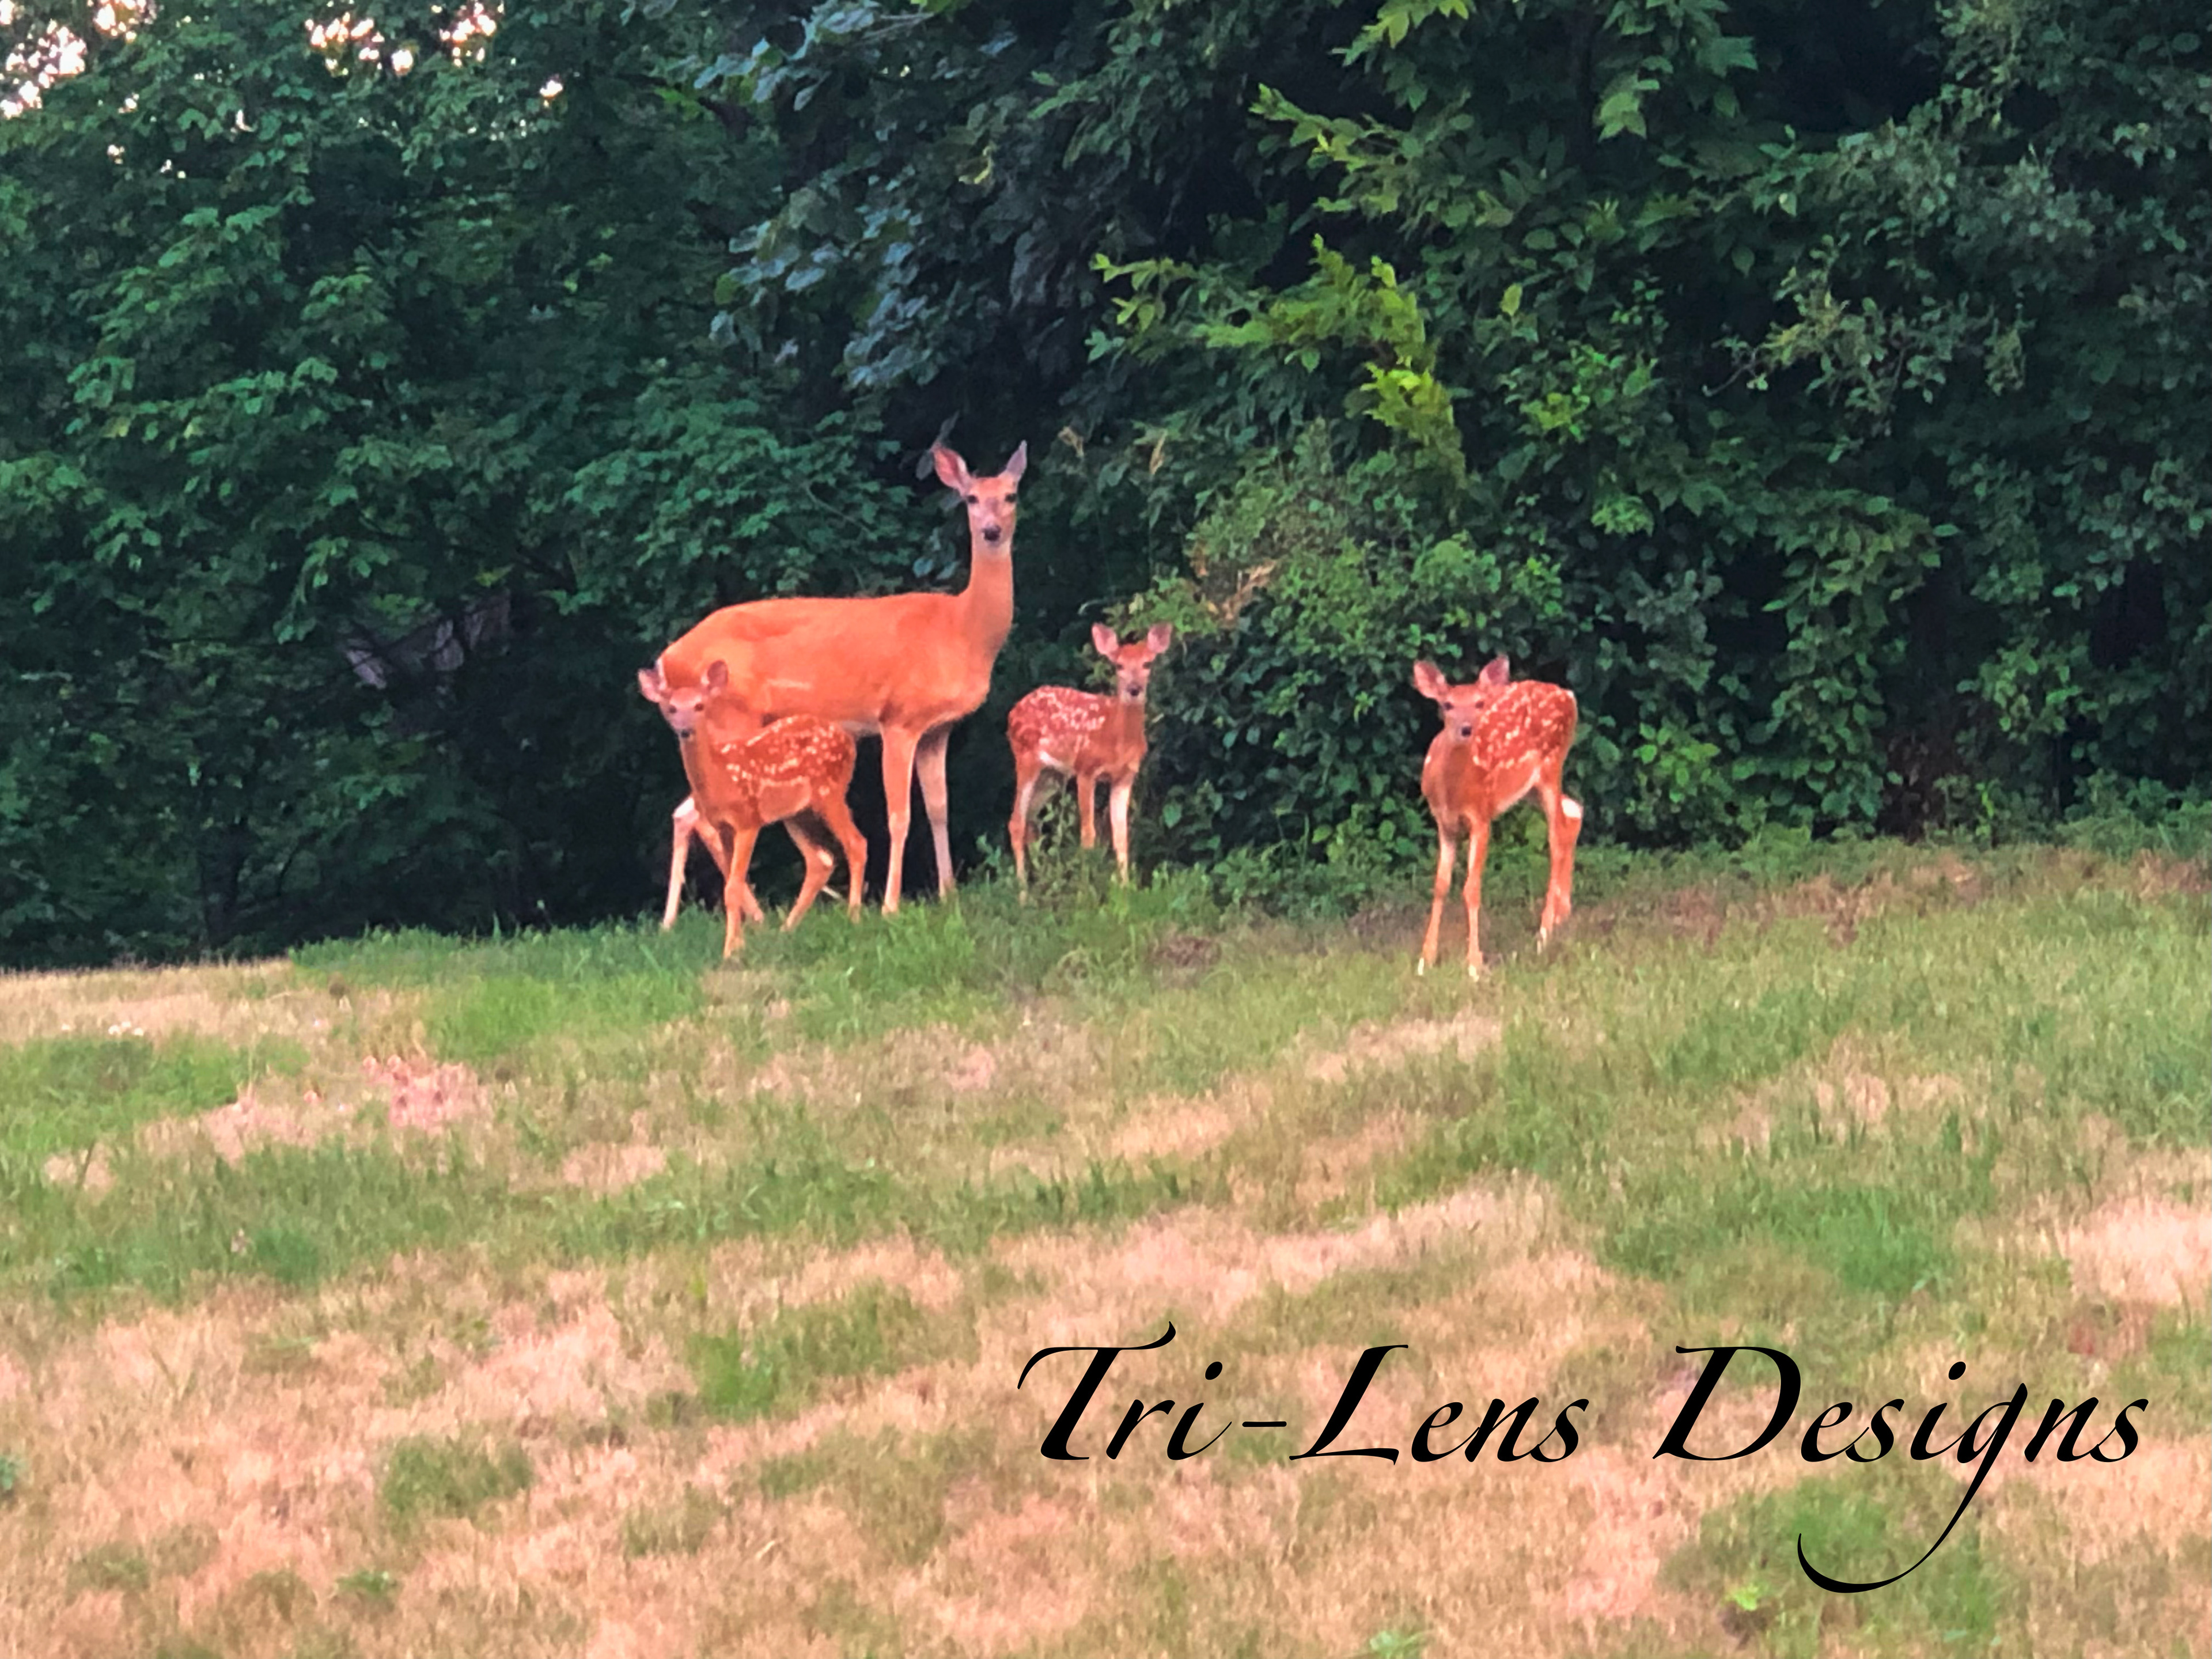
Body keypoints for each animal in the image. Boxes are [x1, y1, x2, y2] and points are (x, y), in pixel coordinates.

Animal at [637, 660, 867, 959]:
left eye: (700, 705)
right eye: (672, 708)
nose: (685, 730)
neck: (721, 779)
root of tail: (849, 741)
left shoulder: (748, 819)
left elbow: (733, 887)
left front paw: (729, 953)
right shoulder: (723, 826)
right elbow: (731, 883)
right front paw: (739, 945)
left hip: (831, 792)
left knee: (856, 843)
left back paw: (854, 918)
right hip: (796, 813)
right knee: (821, 860)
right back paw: (786, 931)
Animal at [652, 441, 1026, 920]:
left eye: (1010, 495)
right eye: (971, 498)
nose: (992, 531)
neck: (961, 631)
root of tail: (667, 658)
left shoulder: (937, 729)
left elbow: (940, 808)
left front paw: (948, 895)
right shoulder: (898, 718)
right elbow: (899, 815)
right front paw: (889, 906)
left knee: (686, 812)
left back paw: (695, 921)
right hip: (729, 718)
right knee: (699, 812)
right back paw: (756, 916)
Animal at [1006, 623, 1174, 893]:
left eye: (1148, 663)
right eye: (1119, 666)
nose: (1134, 690)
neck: (1117, 740)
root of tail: (1012, 712)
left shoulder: (1125, 777)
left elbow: (1121, 835)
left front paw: (1125, 888)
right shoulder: (1085, 769)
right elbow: (1088, 833)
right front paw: (1086, 891)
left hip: (1052, 775)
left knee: (1030, 820)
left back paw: (1042, 880)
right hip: (1026, 758)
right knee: (1016, 822)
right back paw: (1024, 892)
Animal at [1412, 654, 1582, 978]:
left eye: (1480, 703)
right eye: (1447, 704)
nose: (1466, 729)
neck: (1453, 791)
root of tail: (1568, 695)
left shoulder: (1481, 816)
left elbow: (1471, 889)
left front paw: (1474, 965)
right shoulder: (1444, 824)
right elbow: (1440, 886)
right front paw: (1425, 959)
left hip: (1551, 766)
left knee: (1556, 837)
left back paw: (1544, 933)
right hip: (1528, 788)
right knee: (1574, 810)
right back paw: (1563, 915)